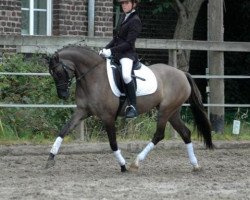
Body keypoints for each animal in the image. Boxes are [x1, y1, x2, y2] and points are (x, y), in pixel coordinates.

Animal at [45, 45, 213, 172]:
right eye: (52, 73)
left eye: (58, 72)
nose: (62, 95)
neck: (93, 76)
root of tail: (182, 73)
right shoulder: (82, 111)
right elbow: (63, 130)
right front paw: (50, 158)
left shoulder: (107, 116)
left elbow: (113, 143)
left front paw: (123, 165)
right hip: (173, 112)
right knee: (185, 133)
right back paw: (195, 165)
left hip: (165, 111)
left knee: (159, 135)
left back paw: (136, 162)